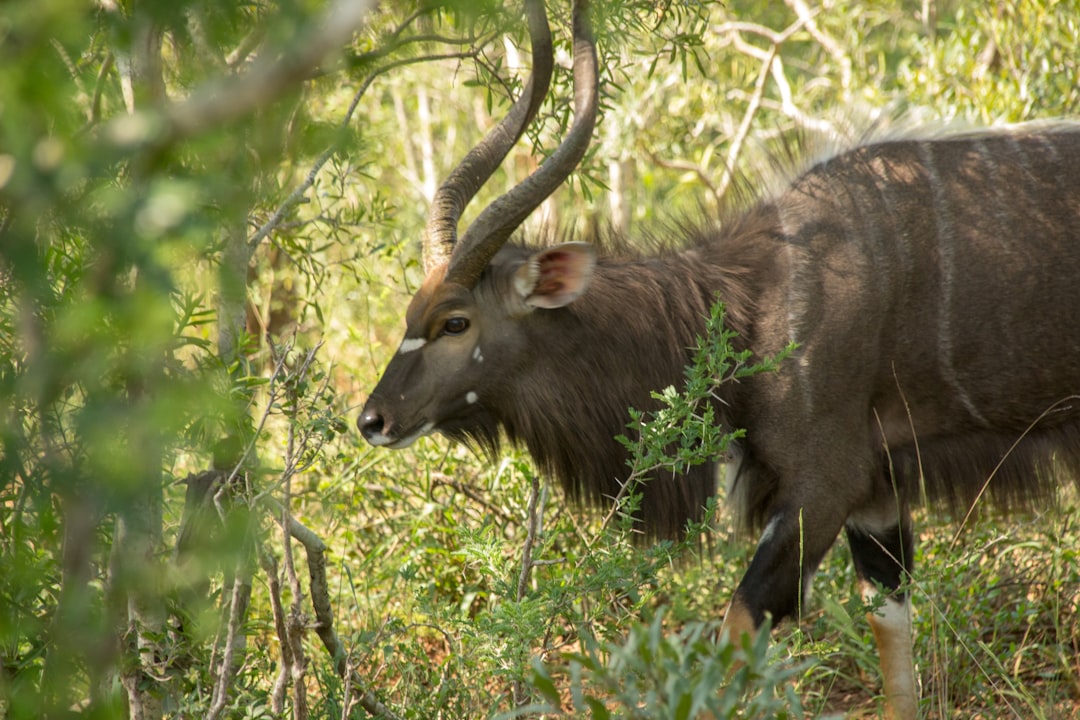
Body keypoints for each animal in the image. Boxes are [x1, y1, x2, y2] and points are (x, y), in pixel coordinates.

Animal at [360, 2, 1080, 716]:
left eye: (455, 321)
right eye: (410, 312)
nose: (372, 420)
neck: (752, 299)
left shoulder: (824, 484)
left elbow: (735, 629)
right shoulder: (877, 491)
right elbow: (889, 627)